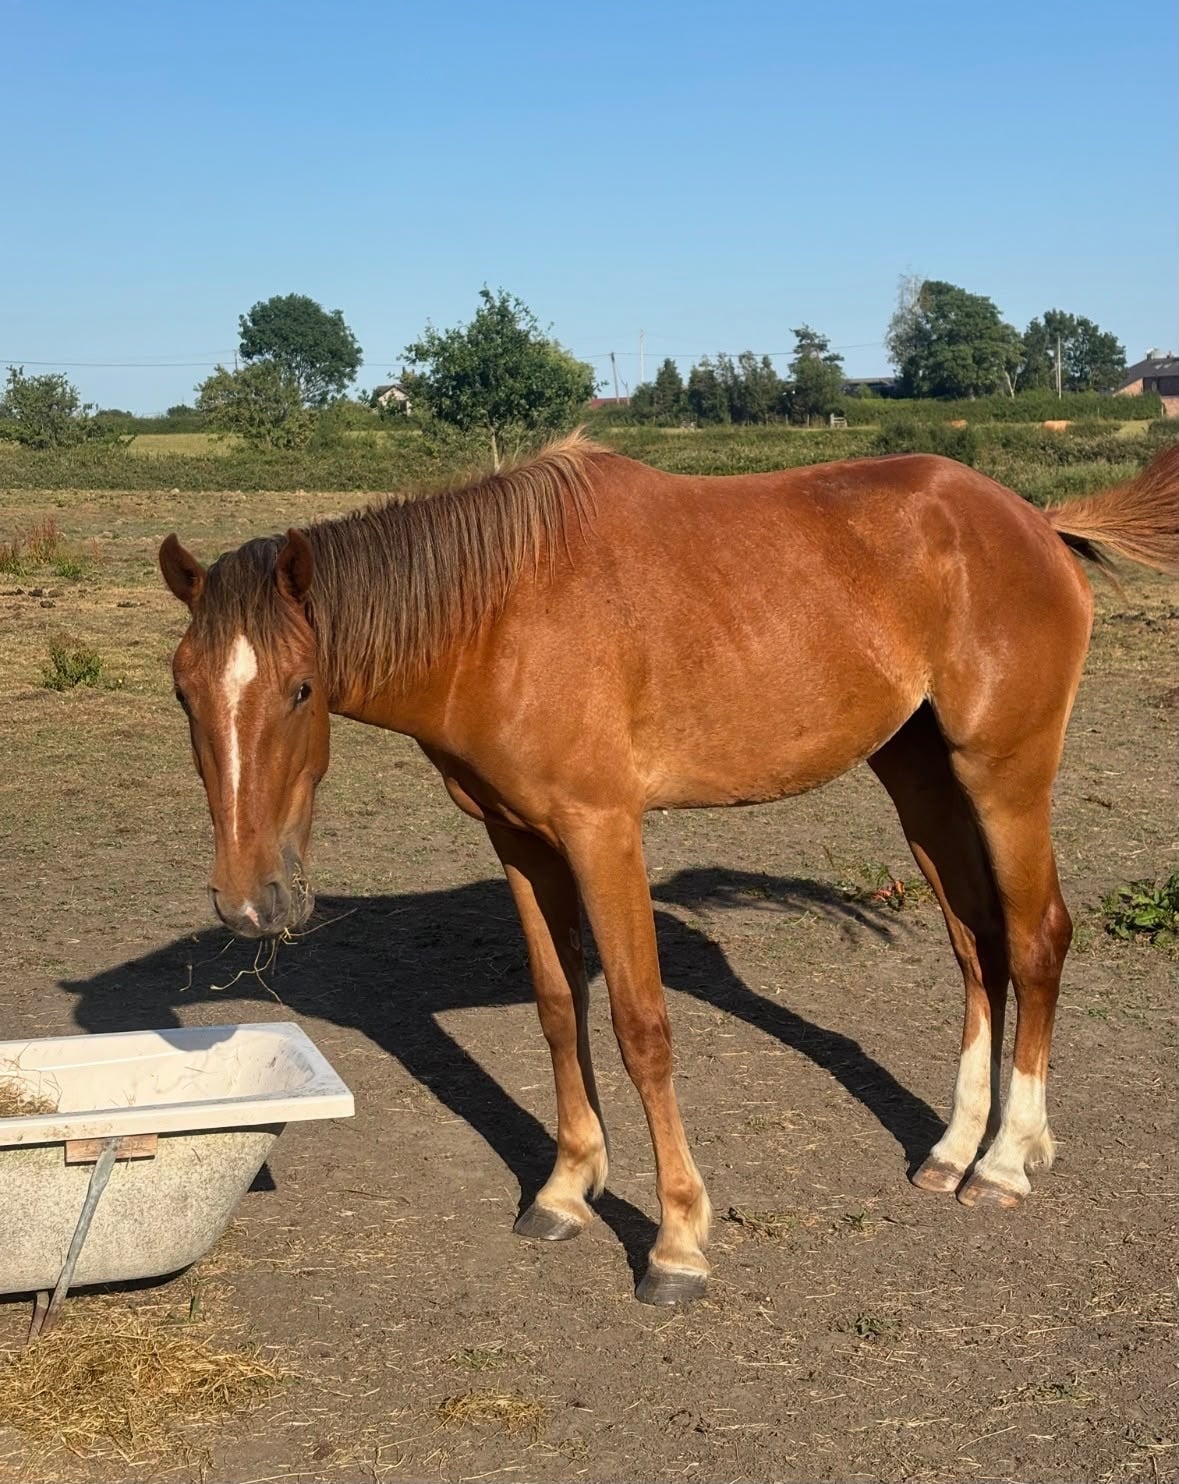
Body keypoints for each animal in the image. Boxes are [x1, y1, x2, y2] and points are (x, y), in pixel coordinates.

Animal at [159, 435, 1177, 1305]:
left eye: (300, 688)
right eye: (183, 693)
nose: (250, 903)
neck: (497, 618)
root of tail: (1034, 521)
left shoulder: (603, 833)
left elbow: (640, 1027)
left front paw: (678, 1241)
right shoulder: (521, 843)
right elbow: (558, 1008)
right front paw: (565, 1189)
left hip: (1004, 778)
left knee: (1036, 940)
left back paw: (1007, 1161)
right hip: (919, 778)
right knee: (976, 948)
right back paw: (957, 1148)